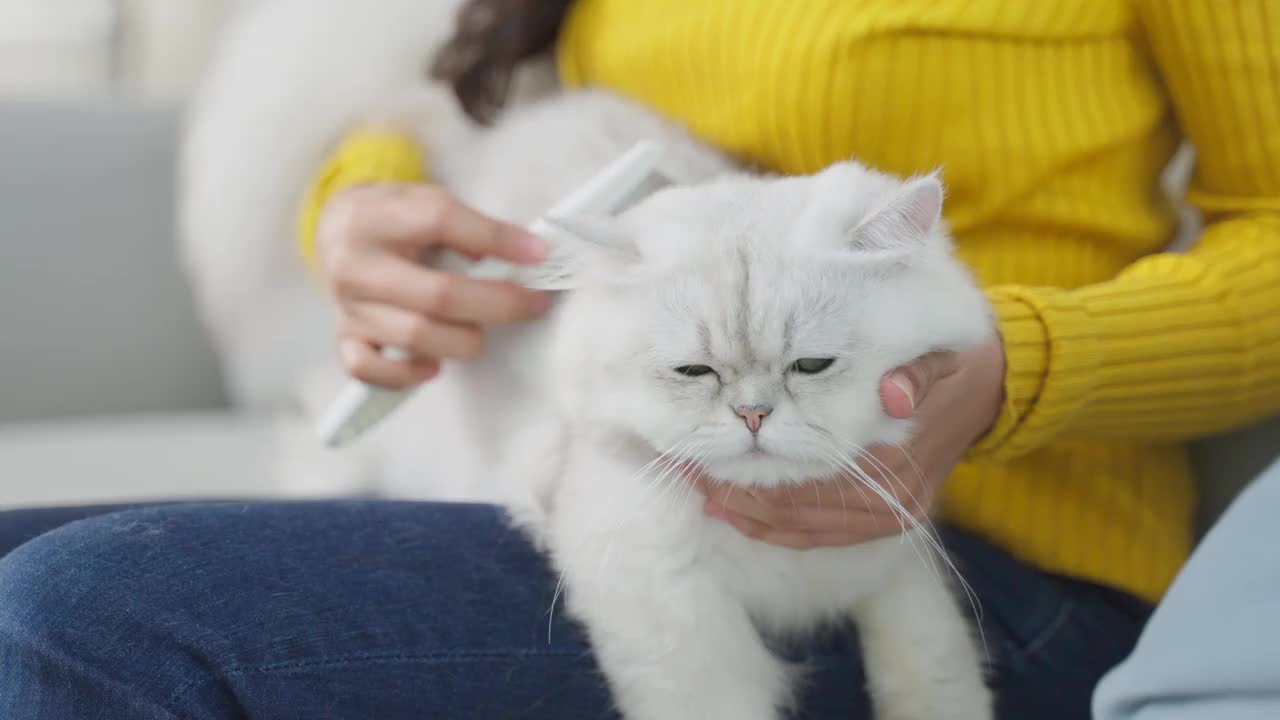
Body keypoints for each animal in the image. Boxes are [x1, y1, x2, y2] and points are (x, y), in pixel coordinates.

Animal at [183, 2, 988, 712]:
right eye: (695, 373)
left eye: (812, 367)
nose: (754, 415)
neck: (786, 565)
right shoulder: (664, 606)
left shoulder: (903, 570)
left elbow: (937, 674)